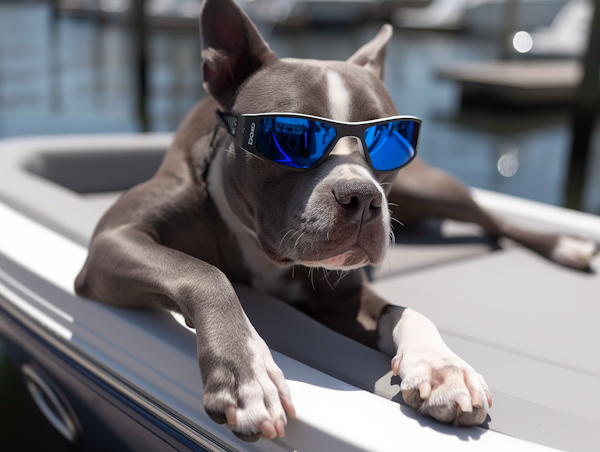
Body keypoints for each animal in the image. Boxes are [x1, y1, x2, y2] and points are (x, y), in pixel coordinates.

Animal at [75, 0, 596, 442]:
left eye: (390, 137)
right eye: (291, 137)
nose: (362, 197)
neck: (260, 248)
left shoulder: (341, 295)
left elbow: (405, 310)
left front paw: (441, 367)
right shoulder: (114, 239)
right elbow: (203, 272)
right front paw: (248, 374)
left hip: (435, 189)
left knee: (497, 223)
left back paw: (568, 246)